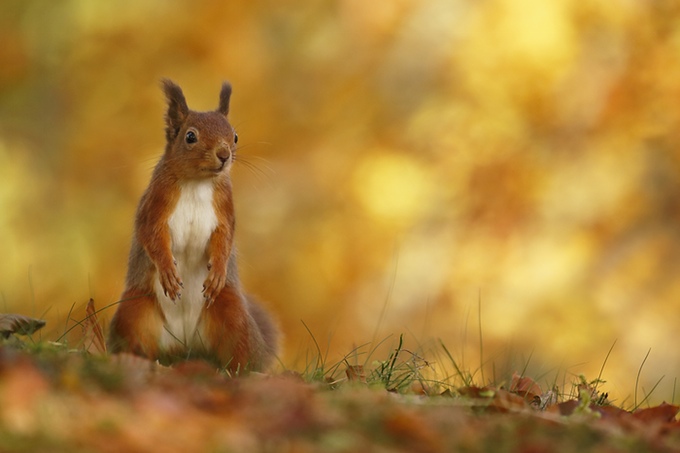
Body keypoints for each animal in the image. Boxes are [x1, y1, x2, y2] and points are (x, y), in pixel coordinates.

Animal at [108, 79, 278, 372]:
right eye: (190, 137)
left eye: (235, 136)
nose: (224, 155)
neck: (197, 183)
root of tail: (184, 344)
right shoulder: (154, 206)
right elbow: (152, 235)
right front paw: (168, 271)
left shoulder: (225, 209)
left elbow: (225, 238)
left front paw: (218, 271)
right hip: (135, 309)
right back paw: (133, 359)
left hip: (232, 313)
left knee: (240, 351)